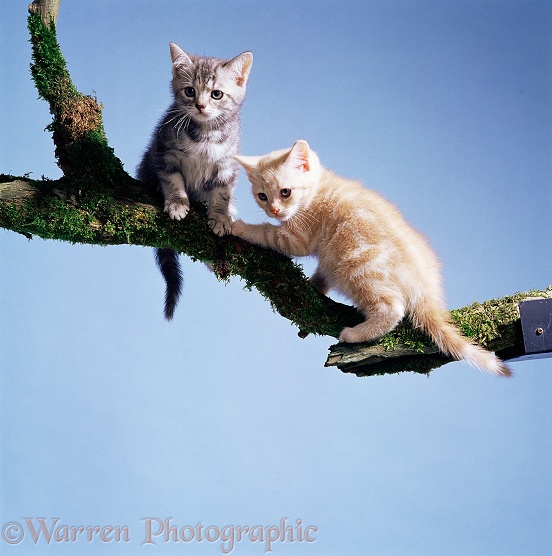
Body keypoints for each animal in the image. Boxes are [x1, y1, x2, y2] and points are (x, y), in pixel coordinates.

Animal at [138, 42, 252, 318]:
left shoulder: (228, 164)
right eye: (190, 91)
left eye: (216, 94)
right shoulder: (163, 150)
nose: (200, 105)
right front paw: (178, 203)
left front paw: (220, 217)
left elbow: (222, 192)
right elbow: (172, 179)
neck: (206, 135)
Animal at [233, 140, 512, 378]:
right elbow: (321, 272)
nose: (274, 210)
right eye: (262, 196)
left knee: (392, 308)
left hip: (355, 263)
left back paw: (355, 334)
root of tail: (426, 289)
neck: (318, 191)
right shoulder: (323, 254)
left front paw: (237, 226)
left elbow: (267, 233)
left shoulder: (298, 237)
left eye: (285, 192)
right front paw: (315, 285)